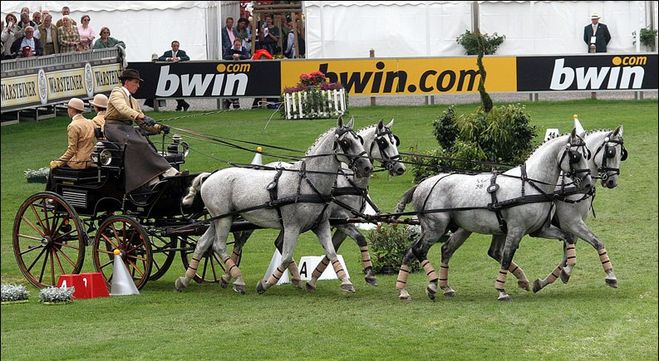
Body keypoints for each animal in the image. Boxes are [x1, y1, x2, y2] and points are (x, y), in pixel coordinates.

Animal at [175, 116, 374, 294]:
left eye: (360, 140)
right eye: (346, 142)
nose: (367, 167)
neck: (309, 182)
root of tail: (210, 175)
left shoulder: (321, 224)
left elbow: (332, 252)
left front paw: (346, 282)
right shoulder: (293, 226)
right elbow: (285, 257)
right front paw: (265, 285)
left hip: (219, 219)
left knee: (203, 244)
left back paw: (185, 280)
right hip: (224, 220)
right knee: (218, 246)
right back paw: (238, 280)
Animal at [392, 128, 592, 300]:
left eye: (587, 155)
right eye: (576, 156)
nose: (588, 184)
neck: (531, 184)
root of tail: (421, 185)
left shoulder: (540, 230)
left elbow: (567, 238)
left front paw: (565, 272)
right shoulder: (516, 230)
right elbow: (507, 257)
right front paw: (502, 291)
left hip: (449, 229)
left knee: (419, 251)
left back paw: (411, 290)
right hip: (436, 228)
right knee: (419, 250)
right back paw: (431, 284)